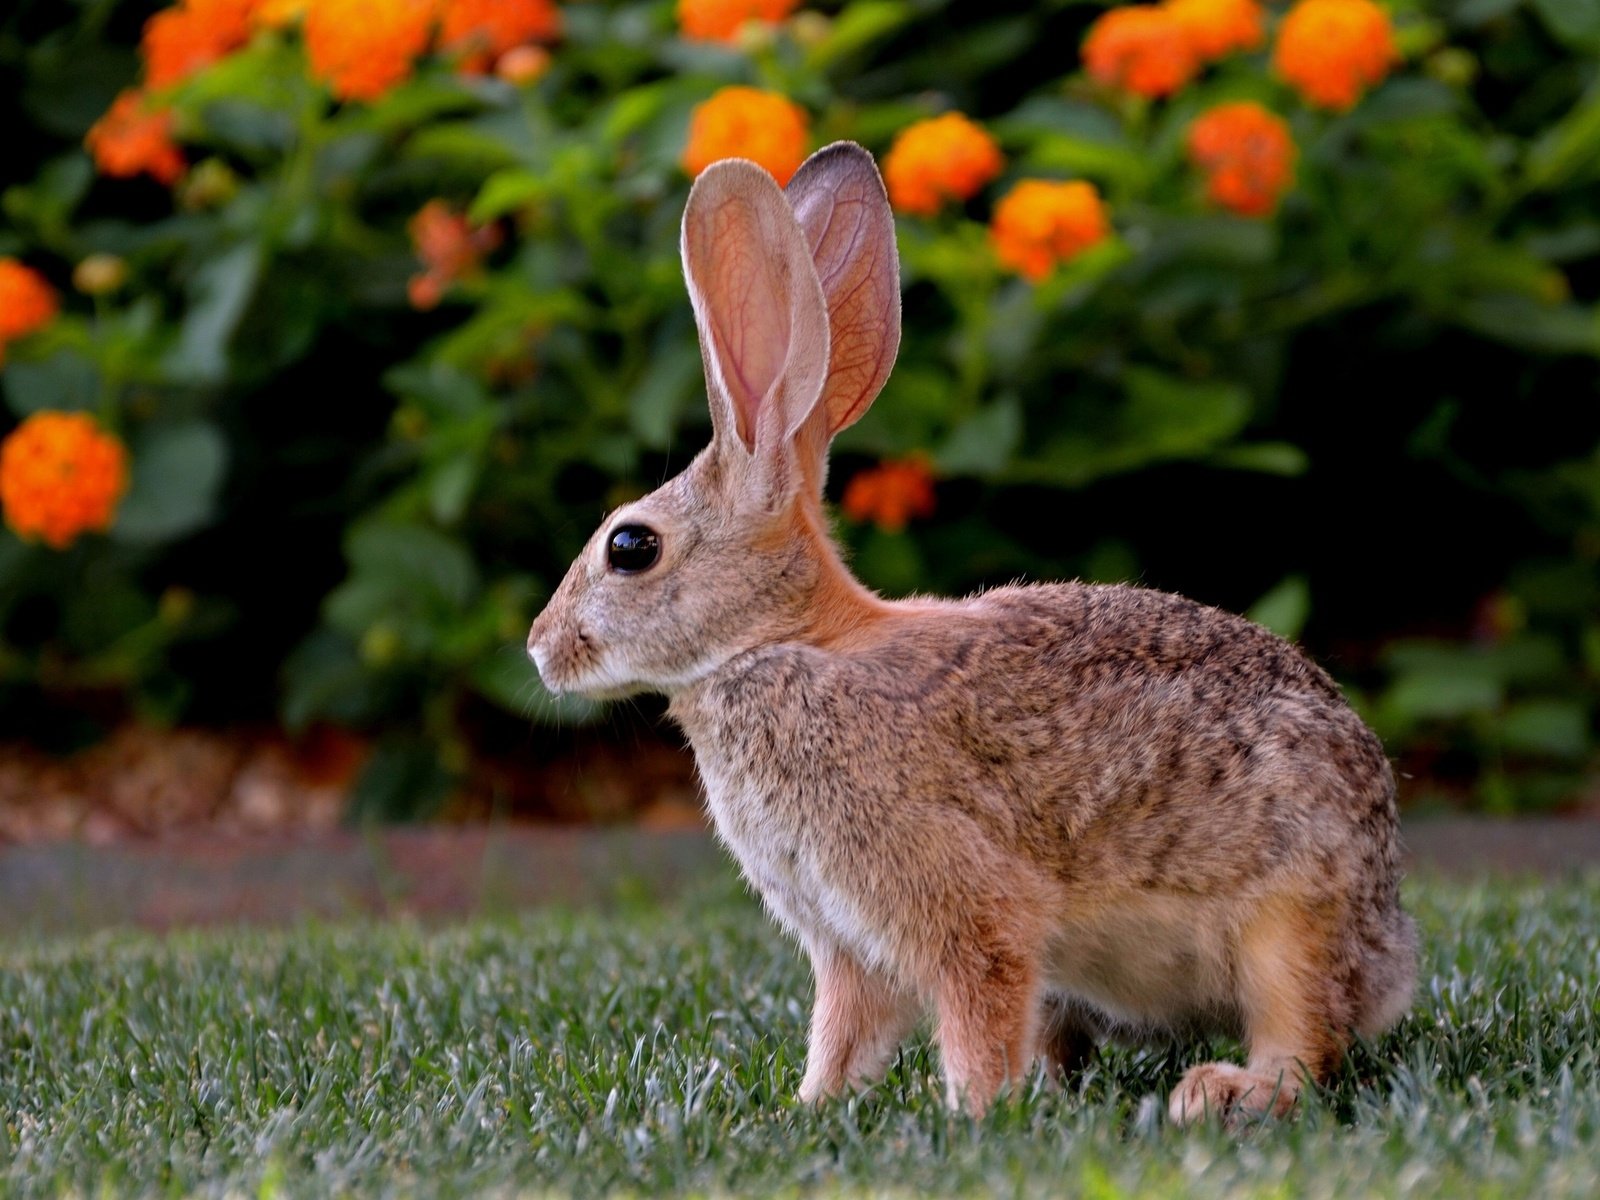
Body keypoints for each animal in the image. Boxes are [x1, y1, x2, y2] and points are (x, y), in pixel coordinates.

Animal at [524, 140, 1414, 1126]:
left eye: (630, 546)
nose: (540, 648)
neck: (783, 645)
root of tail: (1390, 951)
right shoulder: (846, 940)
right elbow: (846, 1028)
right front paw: (813, 1107)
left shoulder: (954, 900)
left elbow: (975, 1001)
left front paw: (971, 1115)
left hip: (1289, 920)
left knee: (1305, 1041)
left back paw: (1221, 1092)